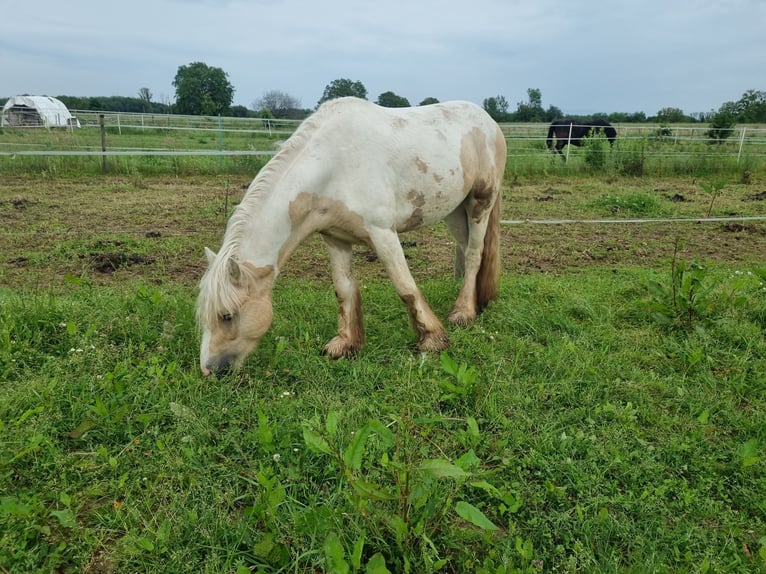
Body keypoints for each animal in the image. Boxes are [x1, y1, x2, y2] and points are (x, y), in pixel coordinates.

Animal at [198, 98, 510, 378]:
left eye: (227, 315)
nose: (209, 370)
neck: (333, 165)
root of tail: (489, 121)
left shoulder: (382, 233)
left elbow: (405, 285)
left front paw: (432, 339)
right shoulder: (335, 238)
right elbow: (344, 288)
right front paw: (346, 344)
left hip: (480, 202)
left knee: (473, 254)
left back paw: (463, 313)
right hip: (455, 212)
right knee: (466, 249)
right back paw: (476, 303)